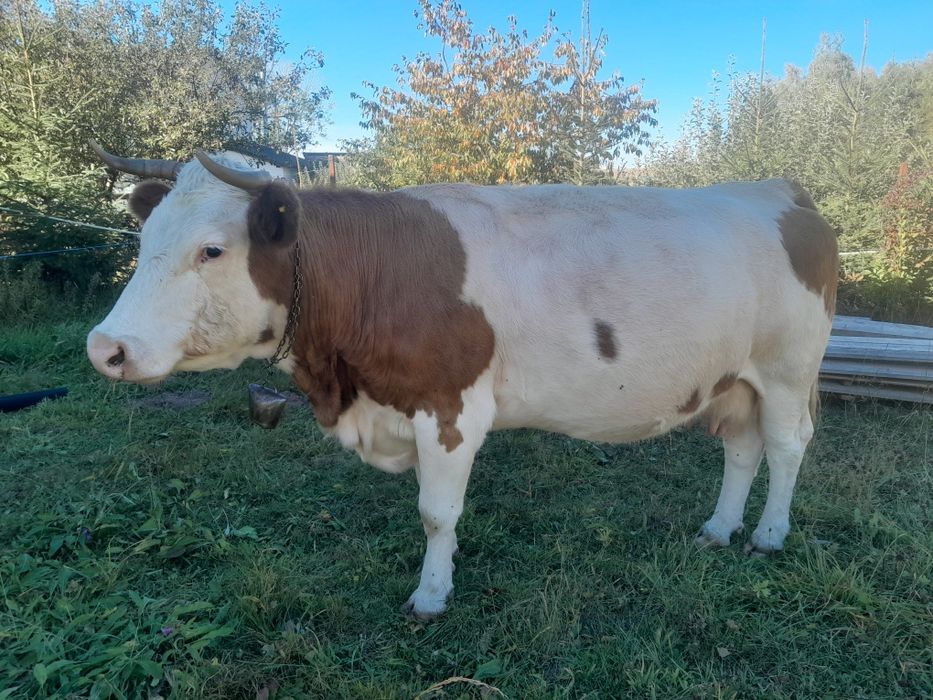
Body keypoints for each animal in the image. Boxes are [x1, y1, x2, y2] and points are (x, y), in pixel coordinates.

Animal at [87, 142, 838, 618]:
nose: (104, 348)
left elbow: (436, 512)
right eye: (144, 239)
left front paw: (430, 596)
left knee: (787, 446)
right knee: (741, 449)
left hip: (787, 367)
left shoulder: (450, 409)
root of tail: (778, 191)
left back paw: (769, 535)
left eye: (212, 250)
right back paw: (719, 527)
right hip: (735, 379)